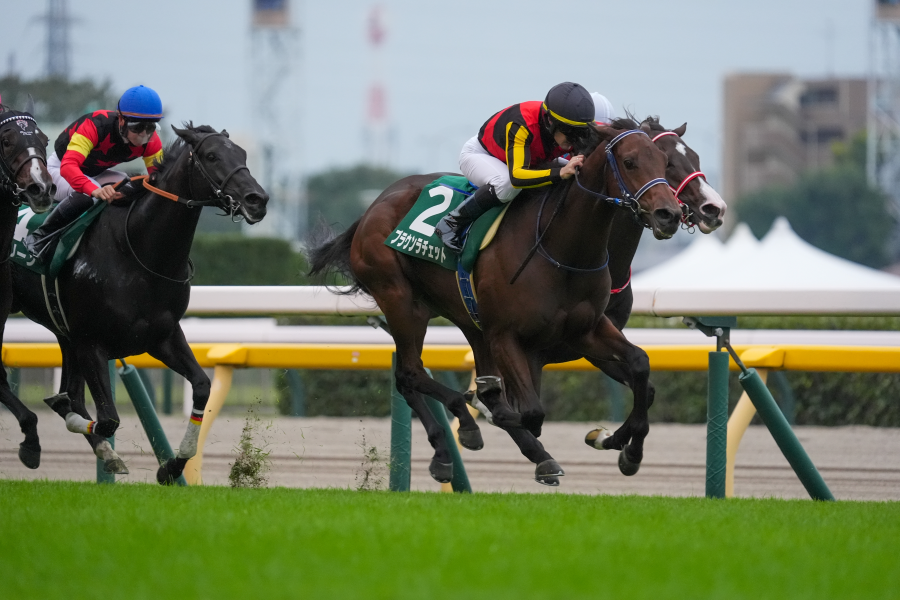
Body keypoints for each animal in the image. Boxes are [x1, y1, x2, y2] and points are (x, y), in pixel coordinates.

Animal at [8, 123, 268, 481]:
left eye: (242, 154)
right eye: (212, 155)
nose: (258, 200)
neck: (138, 251)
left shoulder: (162, 336)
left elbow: (202, 386)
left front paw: (172, 466)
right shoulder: (91, 342)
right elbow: (106, 419)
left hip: (64, 333)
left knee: (73, 393)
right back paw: (32, 440)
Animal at [310, 121, 682, 485]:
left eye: (665, 162)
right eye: (630, 162)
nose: (670, 214)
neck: (563, 250)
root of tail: (373, 207)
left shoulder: (585, 331)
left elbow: (640, 365)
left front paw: (621, 444)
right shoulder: (508, 335)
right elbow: (529, 411)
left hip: (453, 313)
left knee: (412, 376)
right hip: (399, 299)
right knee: (411, 372)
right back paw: (463, 434)